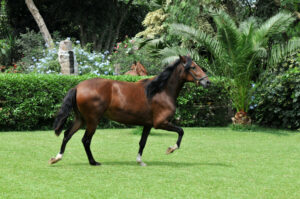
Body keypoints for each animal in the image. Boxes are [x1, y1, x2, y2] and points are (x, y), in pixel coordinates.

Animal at [48, 55, 211, 166]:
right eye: (193, 67)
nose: (207, 82)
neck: (159, 90)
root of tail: (78, 87)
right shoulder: (160, 123)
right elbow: (181, 131)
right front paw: (171, 149)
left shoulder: (148, 124)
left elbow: (142, 142)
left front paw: (140, 161)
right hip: (92, 120)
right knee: (85, 140)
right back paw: (93, 162)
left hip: (81, 119)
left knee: (67, 135)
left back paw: (56, 158)